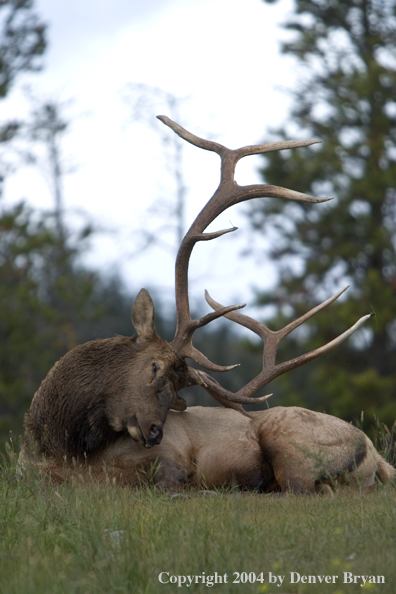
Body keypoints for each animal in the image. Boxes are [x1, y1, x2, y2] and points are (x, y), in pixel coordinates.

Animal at [17, 115, 392, 490]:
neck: (63, 450)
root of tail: (377, 455)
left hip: (288, 441)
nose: (155, 432)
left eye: (176, 388)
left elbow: (167, 480)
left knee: (303, 488)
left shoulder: (169, 460)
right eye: (154, 367)